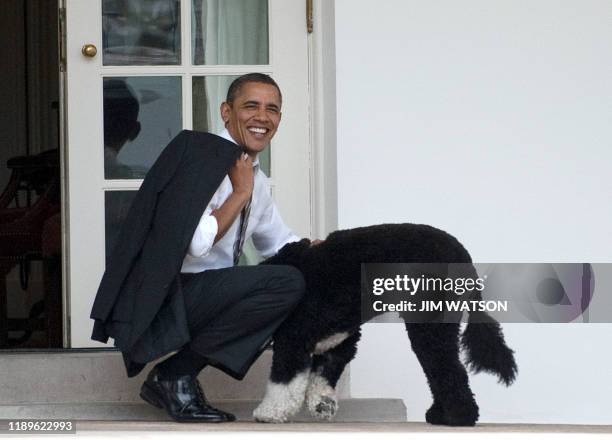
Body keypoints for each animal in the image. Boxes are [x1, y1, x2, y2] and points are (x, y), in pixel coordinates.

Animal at [252, 223, 516, 426]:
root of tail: (464, 259)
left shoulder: (293, 338)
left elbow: (282, 382)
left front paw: (268, 413)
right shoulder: (338, 344)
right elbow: (322, 375)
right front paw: (322, 405)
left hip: (429, 324)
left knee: (448, 369)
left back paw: (459, 417)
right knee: (439, 371)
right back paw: (440, 415)